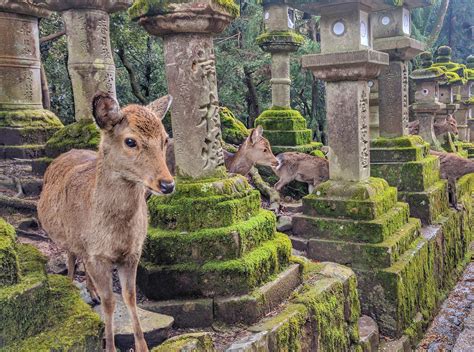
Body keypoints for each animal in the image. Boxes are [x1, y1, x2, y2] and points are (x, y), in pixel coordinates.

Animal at [37, 92, 174, 350]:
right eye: (130, 141)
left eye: (165, 139)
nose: (167, 184)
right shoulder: (97, 255)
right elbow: (110, 302)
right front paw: (109, 346)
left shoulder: (131, 254)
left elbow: (130, 297)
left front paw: (142, 346)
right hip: (66, 236)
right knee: (71, 258)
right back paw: (73, 287)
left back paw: (92, 292)